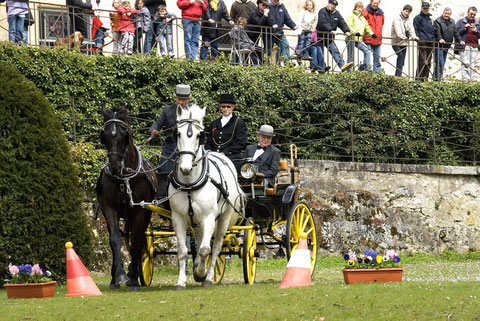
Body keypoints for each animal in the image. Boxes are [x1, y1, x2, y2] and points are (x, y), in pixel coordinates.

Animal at [96, 107, 158, 290]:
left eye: (125, 134)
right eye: (104, 135)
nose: (114, 166)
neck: (124, 178)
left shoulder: (140, 211)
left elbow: (136, 242)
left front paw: (132, 278)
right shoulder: (109, 208)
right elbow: (115, 239)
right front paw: (119, 275)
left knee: (137, 241)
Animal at [169, 104, 244, 288]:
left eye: (199, 135)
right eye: (178, 133)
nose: (185, 168)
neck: (189, 182)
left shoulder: (209, 217)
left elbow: (205, 250)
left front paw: (201, 273)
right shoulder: (178, 217)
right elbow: (183, 250)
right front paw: (181, 281)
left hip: (223, 218)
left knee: (216, 247)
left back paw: (209, 277)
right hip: (196, 222)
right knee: (199, 241)